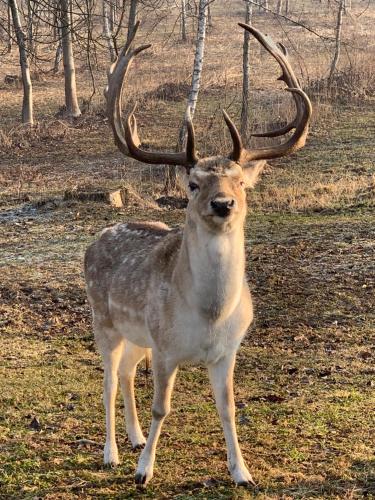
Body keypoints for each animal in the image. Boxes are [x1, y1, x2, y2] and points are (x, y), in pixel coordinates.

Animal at [84, 21, 312, 486]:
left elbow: (229, 410)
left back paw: (133, 439)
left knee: (127, 371)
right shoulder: (165, 346)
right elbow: (162, 407)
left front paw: (242, 472)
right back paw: (112, 453)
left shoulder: (226, 352)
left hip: (138, 334)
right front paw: (144, 471)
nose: (223, 204)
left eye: (240, 180)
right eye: (192, 183)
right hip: (104, 321)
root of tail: (94, 240)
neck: (209, 314)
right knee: (108, 381)